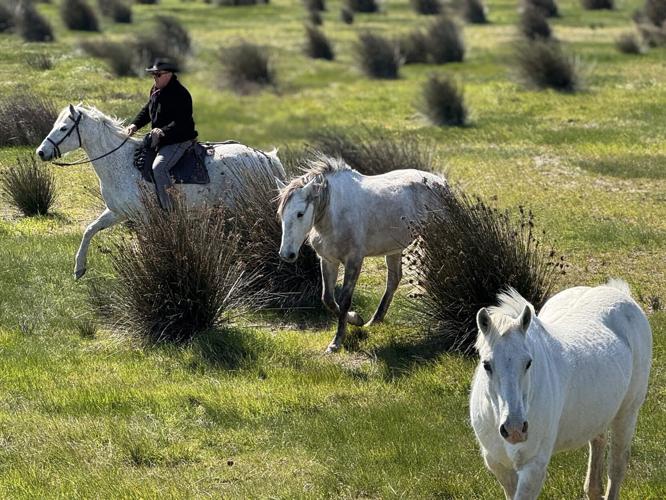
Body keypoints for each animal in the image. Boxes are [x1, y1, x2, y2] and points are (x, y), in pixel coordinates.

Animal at [36, 104, 285, 279]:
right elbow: (90, 230)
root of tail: (264, 157)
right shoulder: (117, 212)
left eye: (64, 128)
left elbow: (146, 245)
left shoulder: (144, 217)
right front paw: (79, 269)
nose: (41, 152)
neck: (121, 162)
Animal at [277, 155, 447, 353]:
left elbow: (344, 300)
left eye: (300, 214)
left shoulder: (354, 261)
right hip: (394, 249)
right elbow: (328, 299)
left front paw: (336, 342)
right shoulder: (328, 261)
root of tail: (439, 181)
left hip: (433, 238)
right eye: (281, 214)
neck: (334, 213)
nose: (286, 254)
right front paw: (357, 320)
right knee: (394, 280)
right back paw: (375, 320)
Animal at [469, 280, 652, 500]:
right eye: (486, 364)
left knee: (616, 468)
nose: (514, 429)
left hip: (627, 414)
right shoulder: (499, 466)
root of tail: (616, 291)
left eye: (529, 362)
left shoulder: (533, 468)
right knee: (598, 443)